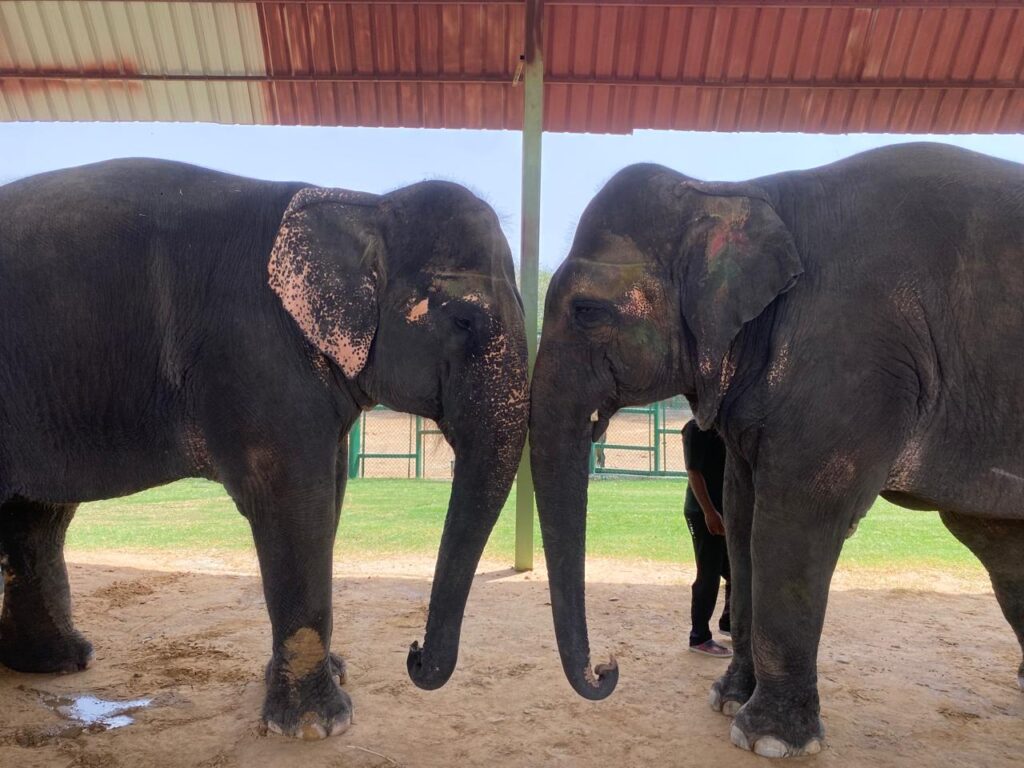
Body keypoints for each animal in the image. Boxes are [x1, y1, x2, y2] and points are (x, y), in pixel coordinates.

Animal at [0, 156, 528, 741]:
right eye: (464, 320)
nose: (412, 654)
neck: (363, 204)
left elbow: (330, 495)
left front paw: (329, 676)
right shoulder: (256, 352)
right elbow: (296, 503)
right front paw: (317, 726)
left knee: (38, 516)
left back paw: (60, 663)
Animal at [532, 143, 1024, 757]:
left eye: (587, 311)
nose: (607, 668)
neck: (736, 191)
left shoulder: (850, 358)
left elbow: (793, 519)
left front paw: (769, 740)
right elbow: (741, 520)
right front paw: (726, 700)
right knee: (999, 543)